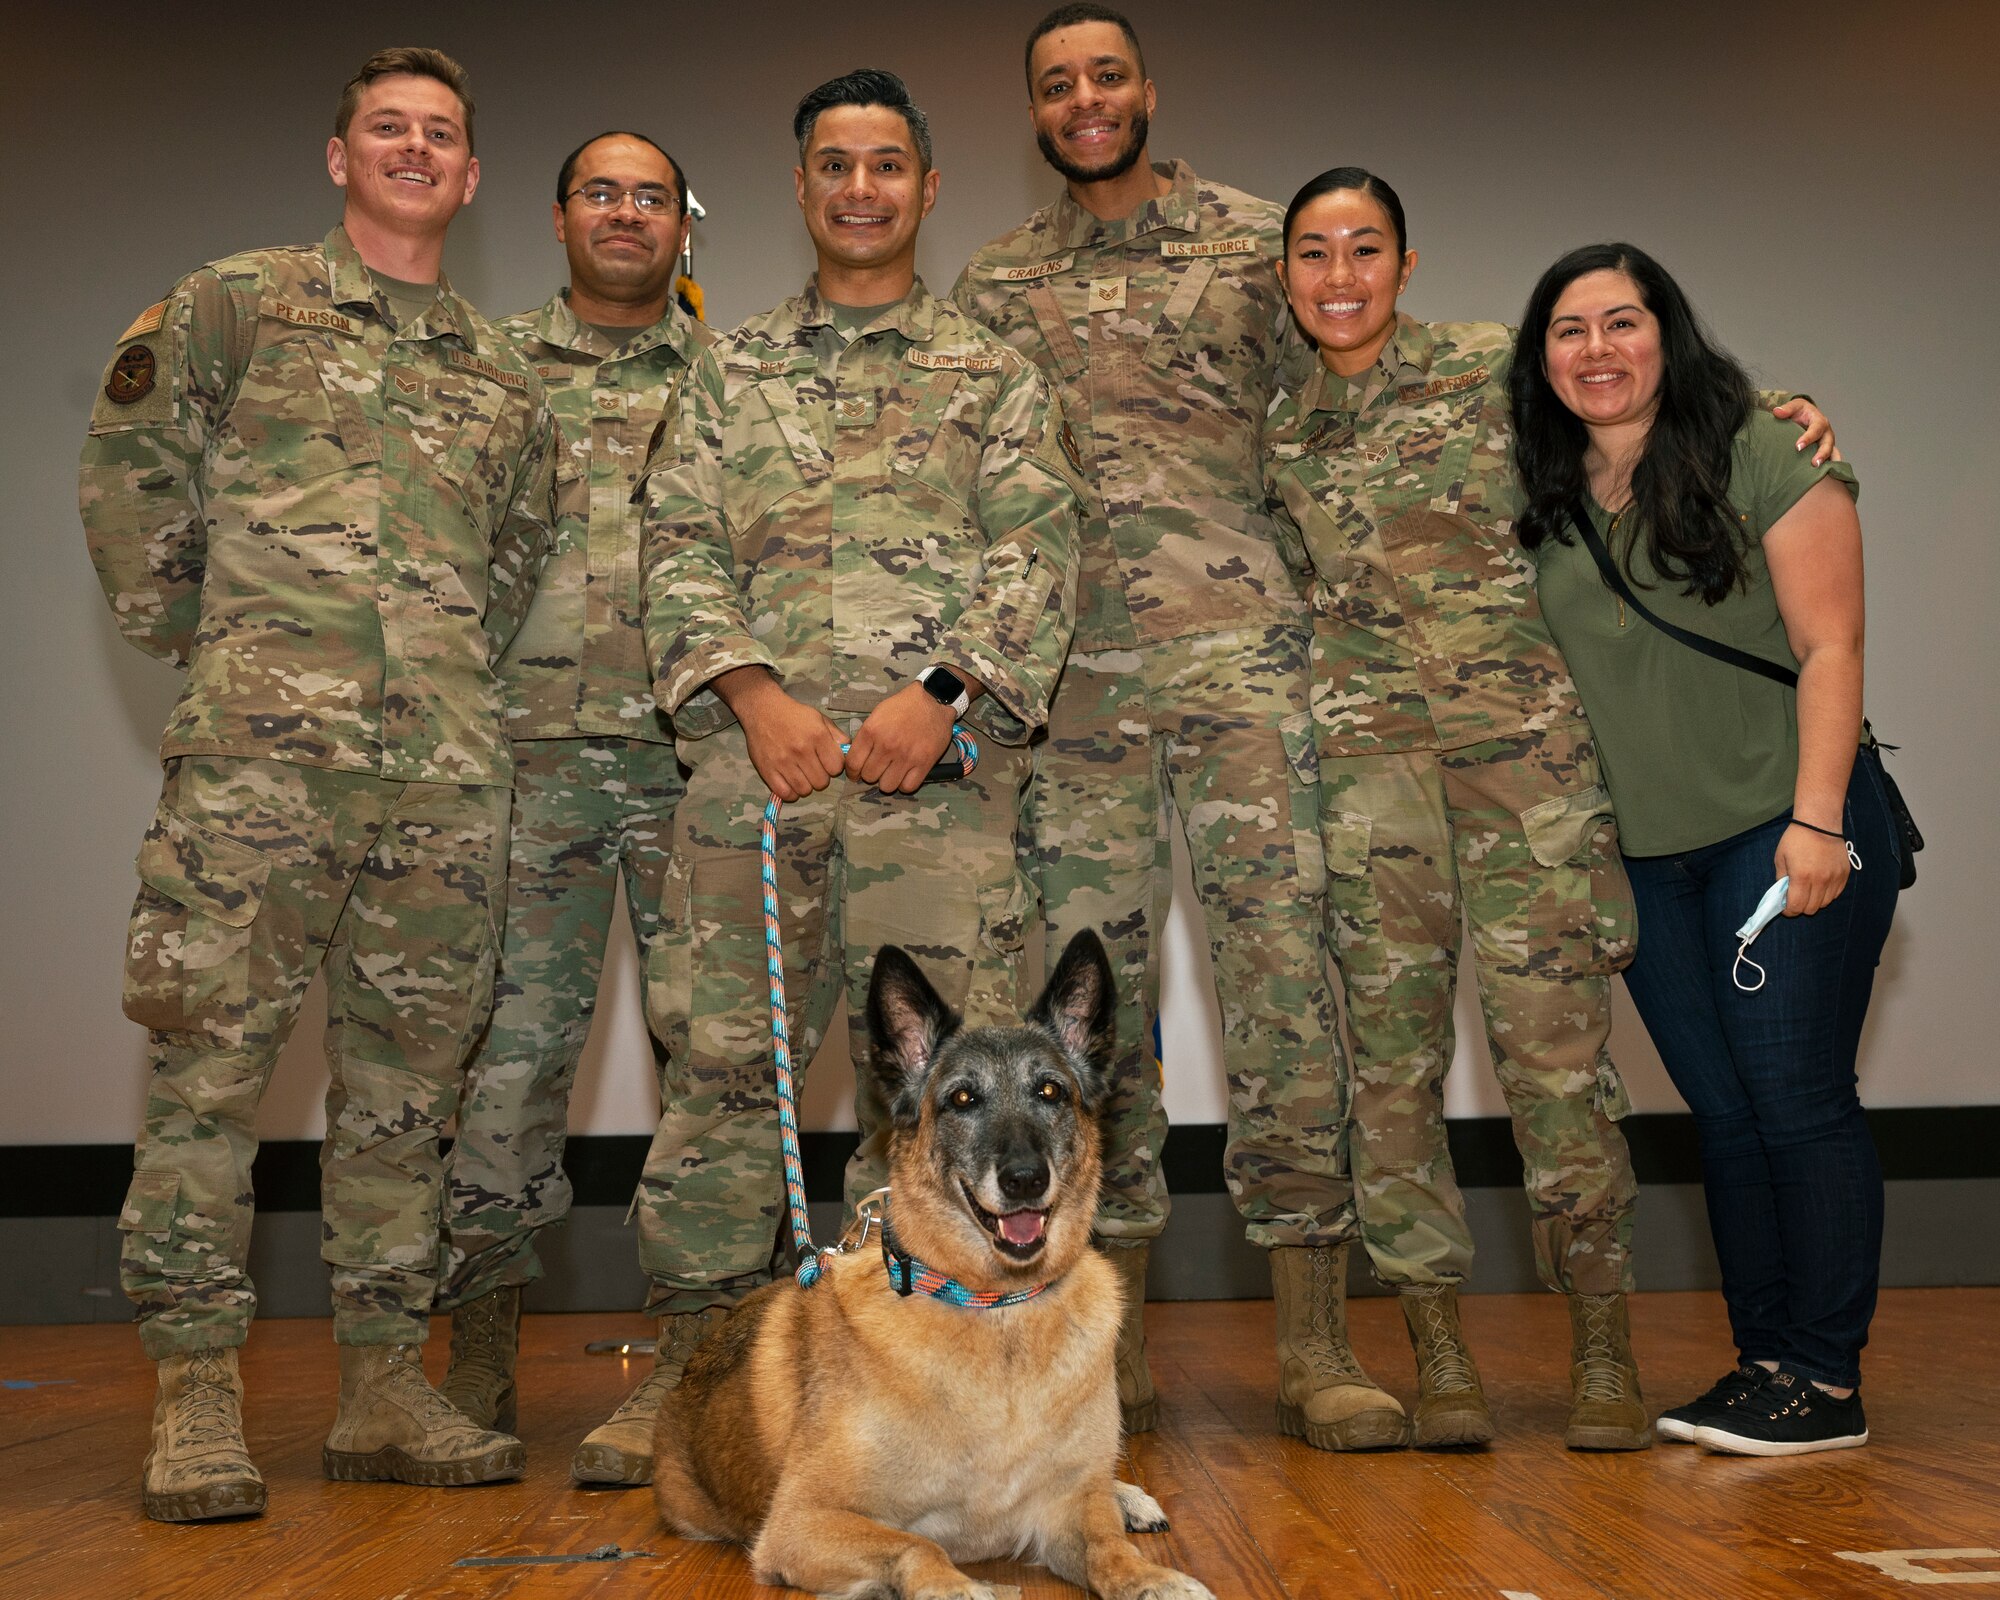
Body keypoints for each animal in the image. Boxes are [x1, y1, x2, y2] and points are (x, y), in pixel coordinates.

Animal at [652, 932, 1200, 1600]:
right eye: (962, 1099)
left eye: (1050, 1092)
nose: (1024, 1180)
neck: (994, 1307)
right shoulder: (800, 1523)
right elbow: (917, 1545)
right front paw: (956, 1587)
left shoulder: (1066, 1513)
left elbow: (1107, 1547)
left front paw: (1151, 1577)